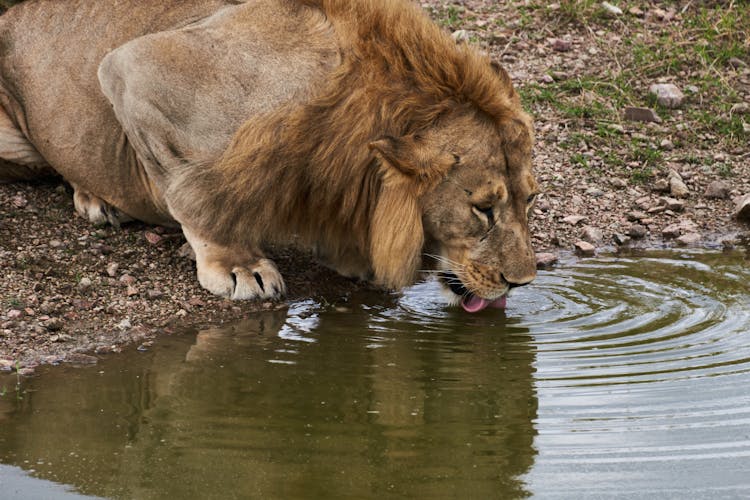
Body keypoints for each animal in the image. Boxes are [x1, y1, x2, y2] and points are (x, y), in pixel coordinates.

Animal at [0, 0, 540, 312]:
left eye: (531, 200)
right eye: (482, 209)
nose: (523, 283)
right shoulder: (133, 70)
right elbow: (197, 196)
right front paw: (239, 266)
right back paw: (97, 198)